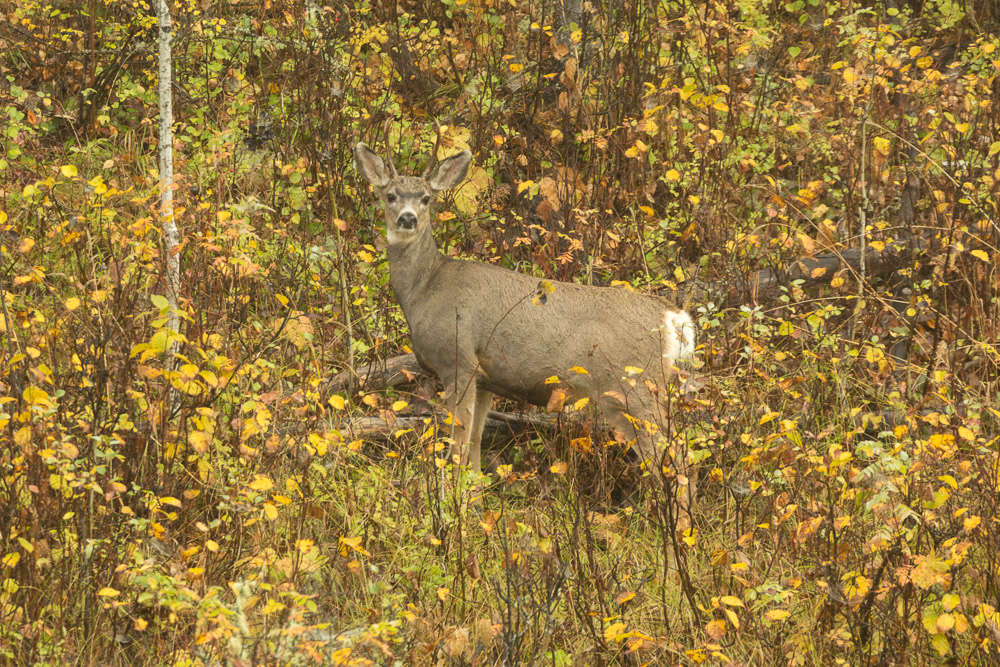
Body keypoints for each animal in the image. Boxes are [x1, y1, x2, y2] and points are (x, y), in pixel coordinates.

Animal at [358, 132, 696, 528]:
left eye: (426, 198)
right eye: (390, 195)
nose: (408, 218)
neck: (425, 290)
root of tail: (673, 317)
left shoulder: (458, 361)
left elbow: (457, 445)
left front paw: (453, 513)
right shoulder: (486, 379)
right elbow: (475, 446)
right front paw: (476, 511)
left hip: (632, 387)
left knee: (674, 461)